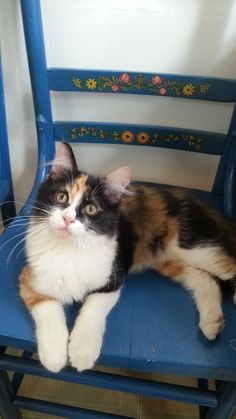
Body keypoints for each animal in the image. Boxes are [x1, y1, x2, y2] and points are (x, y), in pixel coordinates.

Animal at [18, 143, 236, 372]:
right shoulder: (29, 278)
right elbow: (47, 309)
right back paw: (212, 322)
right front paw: (54, 355)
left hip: (191, 246)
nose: (68, 219)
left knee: (227, 267)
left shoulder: (113, 278)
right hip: (167, 259)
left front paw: (82, 351)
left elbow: (91, 310)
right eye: (62, 197)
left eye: (91, 208)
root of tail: (189, 198)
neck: (70, 248)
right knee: (205, 279)